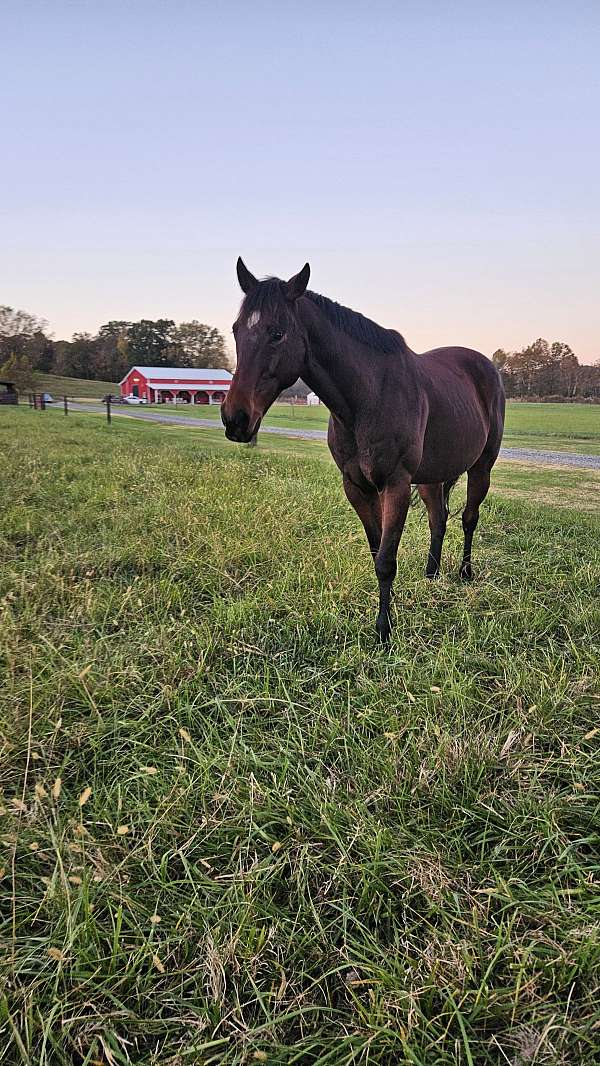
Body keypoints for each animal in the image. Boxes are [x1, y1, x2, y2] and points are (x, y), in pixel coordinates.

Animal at [222, 257, 505, 639]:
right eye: (236, 330)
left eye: (277, 333)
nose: (235, 419)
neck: (369, 396)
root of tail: (486, 367)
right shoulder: (357, 486)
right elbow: (377, 551)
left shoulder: (396, 485)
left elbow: (386, 560)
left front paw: (384, 631)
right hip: (433, 476)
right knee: (438, 519)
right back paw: (431, 576)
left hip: (481, 467)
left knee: (468, 518)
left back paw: (464, 573)